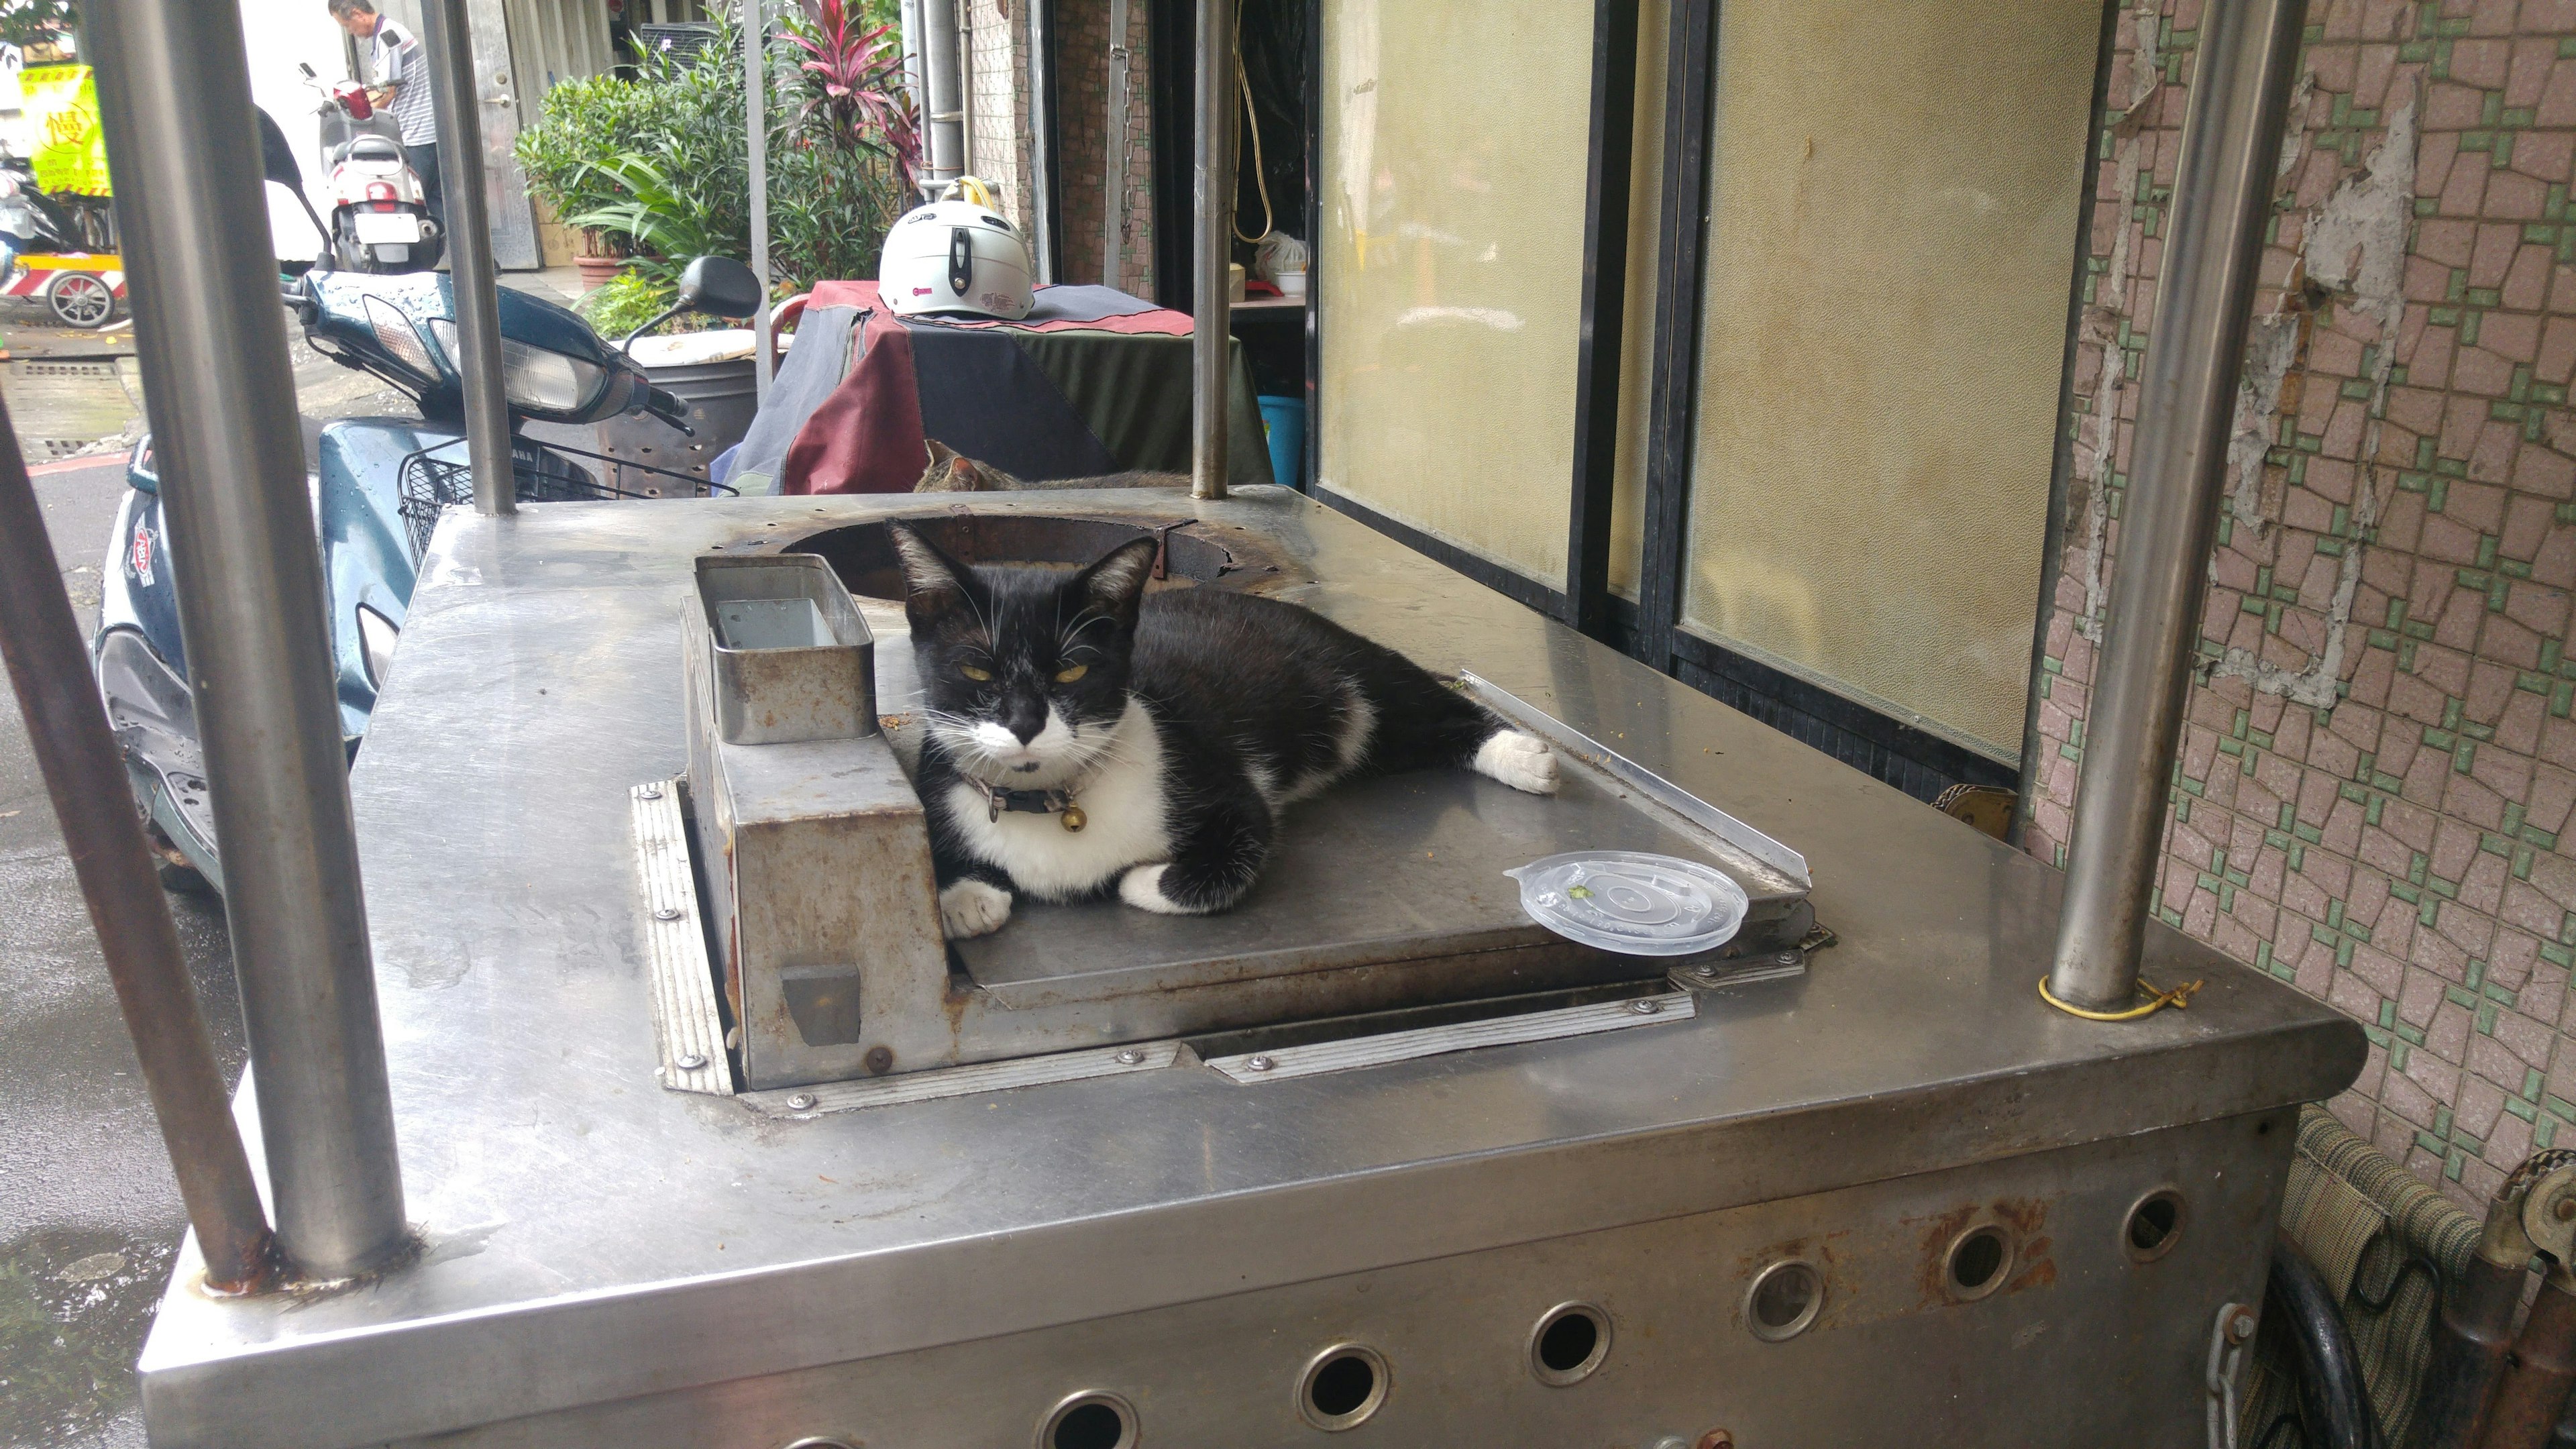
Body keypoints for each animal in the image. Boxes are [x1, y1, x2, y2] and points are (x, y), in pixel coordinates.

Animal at [885, 518, 1566, 938]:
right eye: (977, 667)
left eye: (1073, 668)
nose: (1026, 724)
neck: (1050, 801)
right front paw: (967, 897)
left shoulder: (1222, 787)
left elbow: (1222, 865)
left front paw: (1135, 880)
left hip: (1354, 667)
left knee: (1432, 702)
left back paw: (1520, 754)